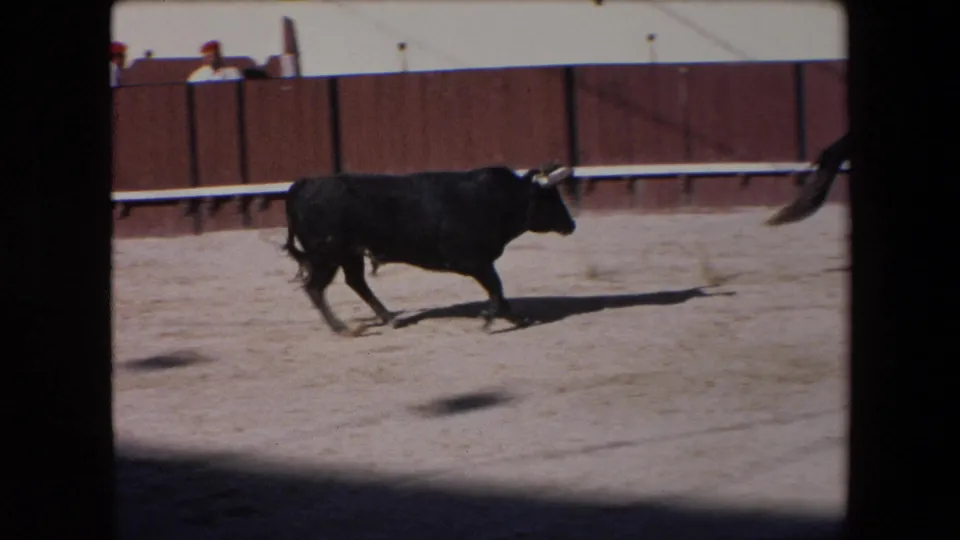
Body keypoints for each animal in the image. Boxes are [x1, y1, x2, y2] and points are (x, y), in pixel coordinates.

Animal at [283, 163, 577, 336]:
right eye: (551, 198)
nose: (572, 225)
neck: (497, 199)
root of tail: (304, 184)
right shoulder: (475, 262)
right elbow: (496, 287)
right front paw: (490, 320)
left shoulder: (481, 263)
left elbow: (499, 291)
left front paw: (516, 317)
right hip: (327, 256)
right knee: (316, 288)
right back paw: (343, 328)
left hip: (348, 254)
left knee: (355, 282)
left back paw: (389, 318)